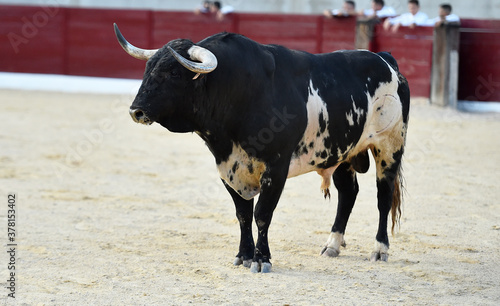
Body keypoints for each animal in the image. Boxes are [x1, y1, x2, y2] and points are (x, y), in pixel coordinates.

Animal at [114, 23, 410, 272]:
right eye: (147, 69)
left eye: (174, 73)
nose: (136, 111)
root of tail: (386, 59)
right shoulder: (227, 168)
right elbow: (243, 214)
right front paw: (243, 256)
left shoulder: (276, 168)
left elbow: (262, 214)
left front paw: (262, 259)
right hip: (342, 153)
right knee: (348, 194)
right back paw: (332, 245)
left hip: (389, 147)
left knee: (383, 197)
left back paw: (380, 249)